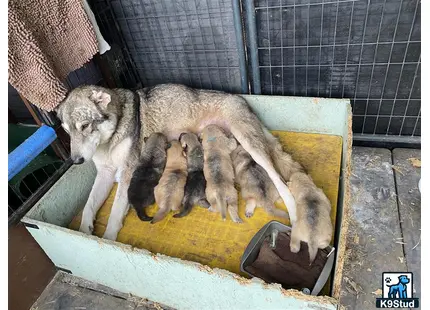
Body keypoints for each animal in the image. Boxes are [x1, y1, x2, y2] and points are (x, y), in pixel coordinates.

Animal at [55, 83, 332, 249]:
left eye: (84, 126)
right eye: (67, 131)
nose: (75, 160)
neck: (111, 136)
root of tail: (243, 100)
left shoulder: (128, 174)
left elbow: (113, 216)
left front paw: (109, 242)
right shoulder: (104, 174)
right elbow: (89, 207)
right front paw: (84, 232)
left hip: (250, 144)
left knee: (279, 179)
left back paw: (294, 215)